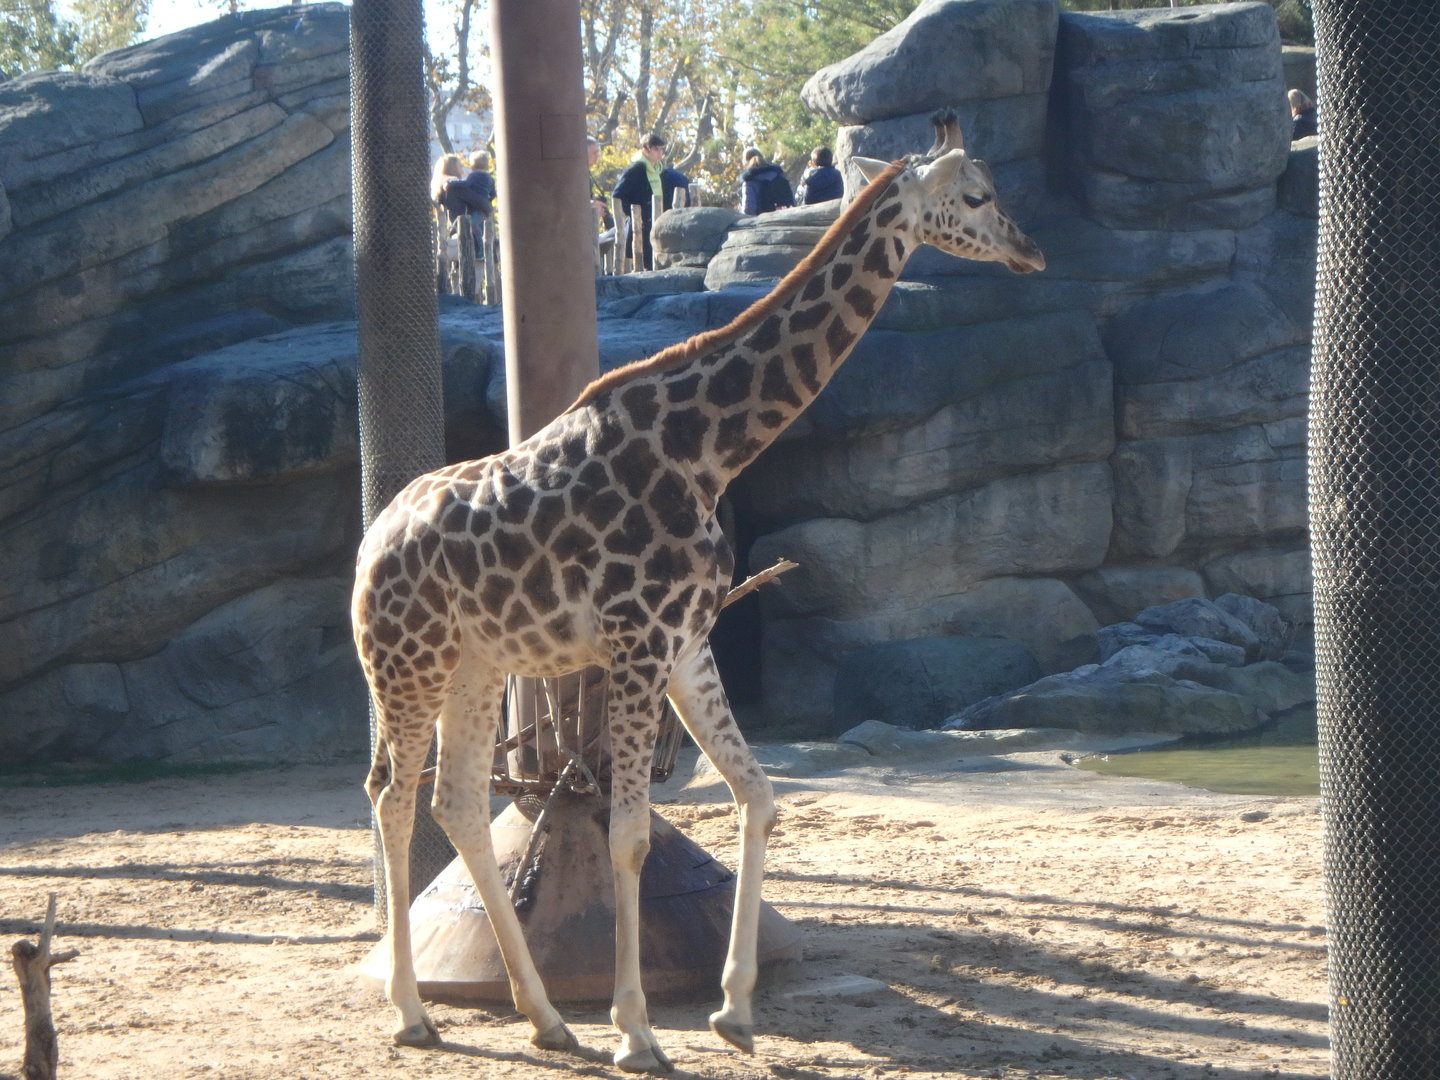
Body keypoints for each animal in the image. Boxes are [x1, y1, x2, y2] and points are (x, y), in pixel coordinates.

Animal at [353, 109, 1044, 1074]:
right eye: (976, 195)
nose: (1031, 250)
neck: (709, 452)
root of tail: (368, 548)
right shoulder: (638, 643)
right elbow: (630, 836)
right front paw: (639, 1030)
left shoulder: (686, 642)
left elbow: (758, 795)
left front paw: (734, 1009)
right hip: (408, 663)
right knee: (391, 794)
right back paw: (413, 1014)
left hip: (477, 666)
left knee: (454, 801)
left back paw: (546, 1018)